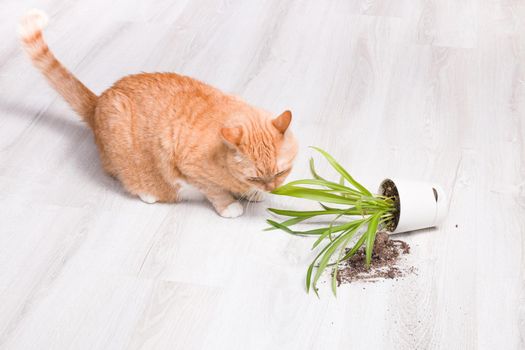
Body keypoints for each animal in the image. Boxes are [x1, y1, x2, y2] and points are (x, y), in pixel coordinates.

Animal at [18, 9, 296, 217]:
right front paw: (231, 203)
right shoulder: (190, 167)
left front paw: (252, 194)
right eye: (257, 177)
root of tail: (100, 100)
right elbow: (215, 190)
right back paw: (148, 193)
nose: (272, 187)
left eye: (280, 173)